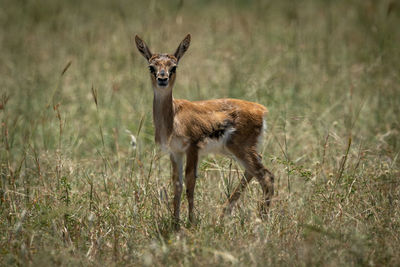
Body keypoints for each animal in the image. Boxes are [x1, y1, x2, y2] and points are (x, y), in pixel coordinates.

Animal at [135, 33, 276, 228]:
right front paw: (175, 222)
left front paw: (190, 222)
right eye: (151, 66)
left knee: (267, 176)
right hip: (235, 151)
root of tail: (261, 109)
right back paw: (224, 214)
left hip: (241, 150)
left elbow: (190, 183)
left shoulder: (192, 149)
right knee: (254, 172)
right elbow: (177, 185)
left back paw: (261, 221)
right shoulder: (175, 152)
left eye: (174, 66)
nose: (162, 79)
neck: (173, 117)